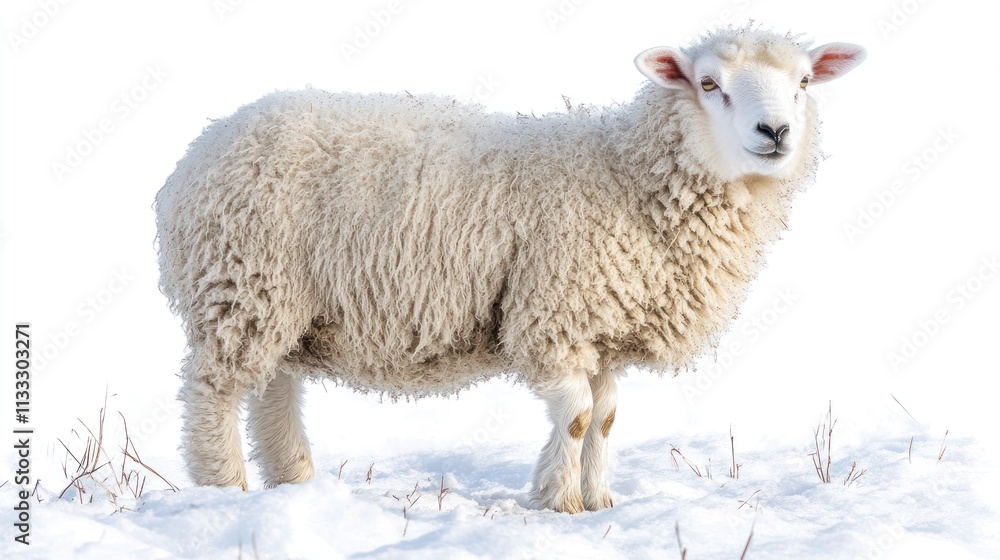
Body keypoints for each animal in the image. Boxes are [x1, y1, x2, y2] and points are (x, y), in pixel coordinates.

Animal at [155, 26, 865, 513]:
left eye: (804, 82)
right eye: (710, 84)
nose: (775, 131)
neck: (627, 176)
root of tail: (199, 150)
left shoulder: (602, 329)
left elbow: (606, 417)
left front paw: (599, 502)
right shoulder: (552, 315)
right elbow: (576, 416)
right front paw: (559, 500)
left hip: (285, 304)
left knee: (274, 388)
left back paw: (292, 483)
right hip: (242, 285)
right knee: (214, 392)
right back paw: (223, 487)